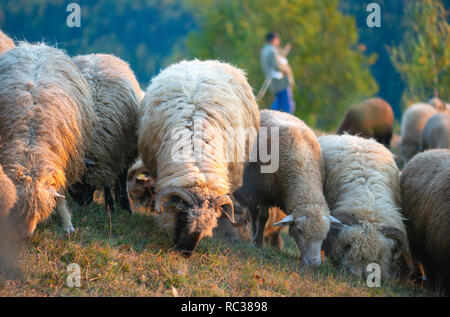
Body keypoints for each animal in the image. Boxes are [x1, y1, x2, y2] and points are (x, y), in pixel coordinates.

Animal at [0, 42, 95, 235]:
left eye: (41, 211)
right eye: (18, 209)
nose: (27, 235)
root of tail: (33, 46)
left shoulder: (65, 163)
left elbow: (60, 195)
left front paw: (67, 223)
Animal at [69, 53, 141, 212]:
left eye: (82, 178)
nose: (80, 202)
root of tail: (96, 54)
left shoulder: (118, 153)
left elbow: (118, 179)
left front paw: (120, 207)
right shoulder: (108, 157)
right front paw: (111, 206)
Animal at [232, 110, 334, 266]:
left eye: (325, 235)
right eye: (300, 231)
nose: (314, 264)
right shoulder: (265, 193)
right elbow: (263, 216)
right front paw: (258, 243)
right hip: (253, 190)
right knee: (253, 213)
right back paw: (254, 238)